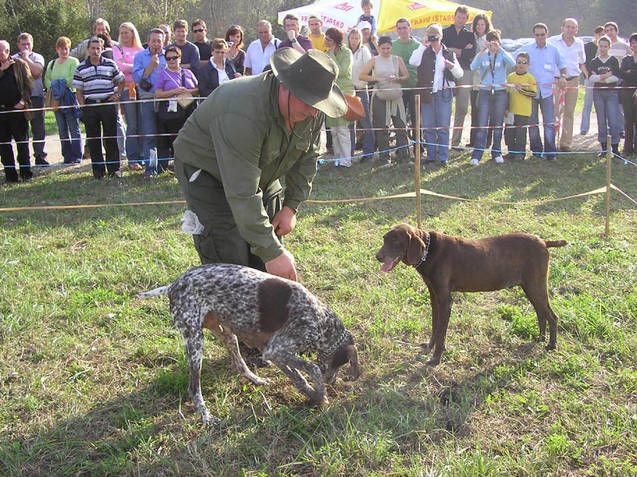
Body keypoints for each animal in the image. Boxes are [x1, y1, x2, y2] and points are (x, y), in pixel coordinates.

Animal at [137, 264, 360, 424]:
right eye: (341, 364)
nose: (332, 381)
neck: (321, 321)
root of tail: (173, 284)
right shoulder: (277, 350)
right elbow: (312, 369)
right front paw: (321, 397)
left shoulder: (272, 352)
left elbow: (298, 377)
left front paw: (312, 395)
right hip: (195, 342)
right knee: (194, 388)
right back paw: (206, 416)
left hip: (227, 334)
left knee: (239, 365)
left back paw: (257, 380)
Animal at [372, 224, 568, 364]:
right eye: (384, 239)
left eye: (396, 241)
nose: (378, 257)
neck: (429, 251)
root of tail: (543, 242)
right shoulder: (434, 297)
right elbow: (435, 327)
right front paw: (429, 347)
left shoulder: (445, 301)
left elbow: (441, 332)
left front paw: (436, 358)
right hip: (530, 287)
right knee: (541, 313)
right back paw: (540, 338)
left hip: (536, 286)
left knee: (552, 316)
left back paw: (551, 344)